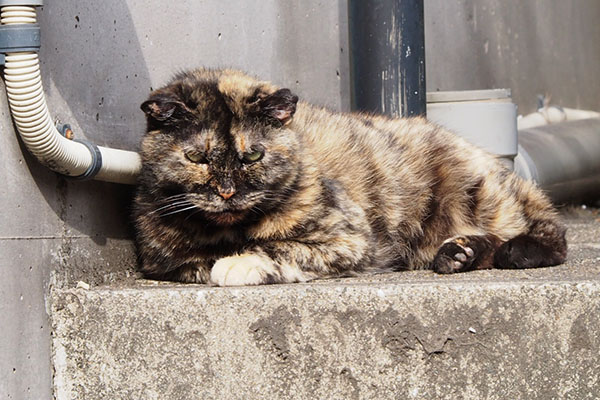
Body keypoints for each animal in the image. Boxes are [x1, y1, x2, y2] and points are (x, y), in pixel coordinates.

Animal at [135, 69, 568, 288]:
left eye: (253, 155)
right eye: (196, 157)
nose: (227, 192)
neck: (227, 231)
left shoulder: (348, 239)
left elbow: (278, 247)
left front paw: (239, 264)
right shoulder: (164, 262)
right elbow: (199, 263)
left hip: (480, 195)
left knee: (551, 230)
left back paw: (517, 250)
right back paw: (458, 254)